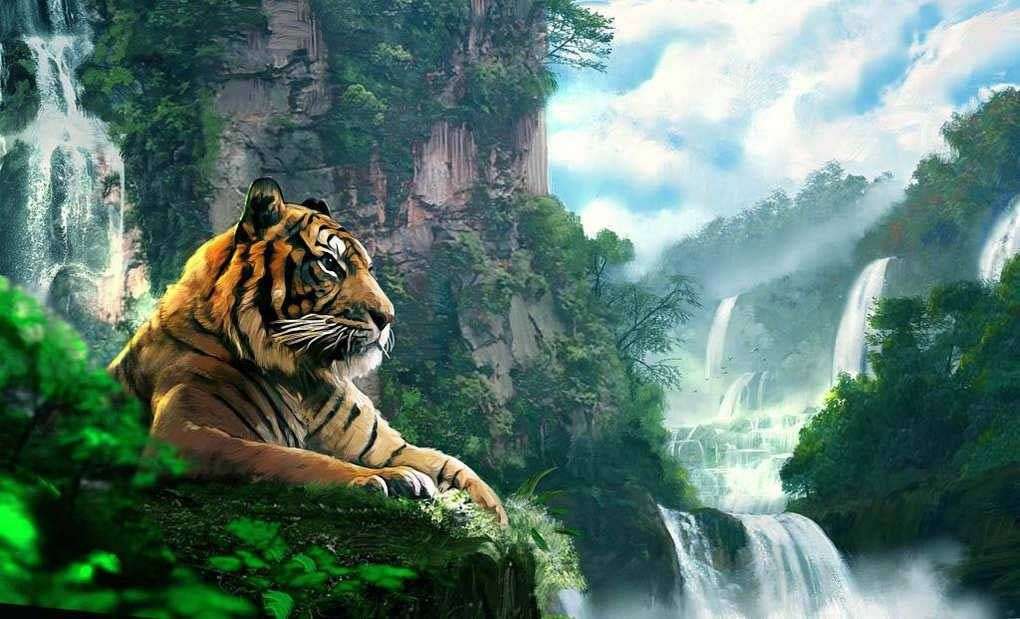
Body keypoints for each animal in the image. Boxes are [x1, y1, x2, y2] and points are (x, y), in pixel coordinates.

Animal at [109, 177, 507, 524]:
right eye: (330, 263)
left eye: (369, 268)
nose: (388, 317)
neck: (301, 375)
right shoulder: (185, 434)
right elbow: (288, 458)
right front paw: (387, 479)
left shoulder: (384, 447)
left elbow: (454, 467)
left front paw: (500, 521)